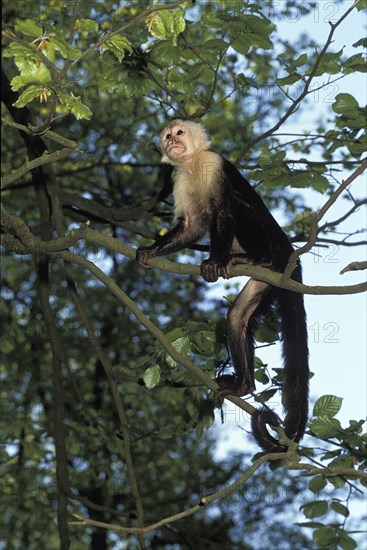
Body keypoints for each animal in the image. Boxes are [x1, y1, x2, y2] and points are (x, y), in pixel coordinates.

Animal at [137, 119, 310, 452]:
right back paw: (244, 386)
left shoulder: (213, 163)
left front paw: (213, 261)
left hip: (277, 253)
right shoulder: (180, 180)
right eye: (167, 136)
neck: (192, 163)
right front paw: (151, 251)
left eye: (180, 133)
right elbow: (191, 226)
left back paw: (254, 258)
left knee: (239, 208)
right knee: (238, 317)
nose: (172, 142)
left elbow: (225, 211)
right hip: (267, 282)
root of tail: (288, 256)